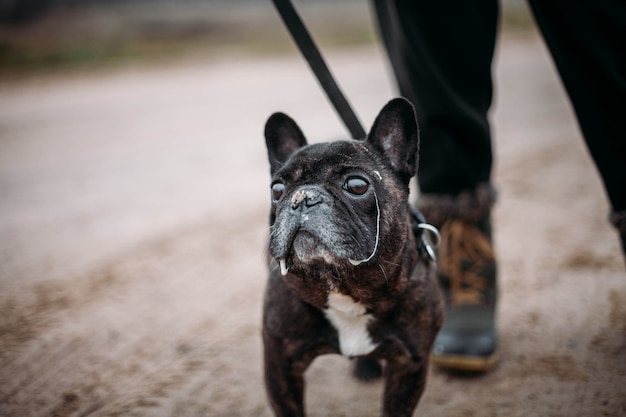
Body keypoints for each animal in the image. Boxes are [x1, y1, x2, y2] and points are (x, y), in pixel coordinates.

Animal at [260, 98, 442, 416]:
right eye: (277, 189)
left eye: (357, 185)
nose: (303, 197)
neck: (343, 287)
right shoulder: (280, 367)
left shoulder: (410, 365)